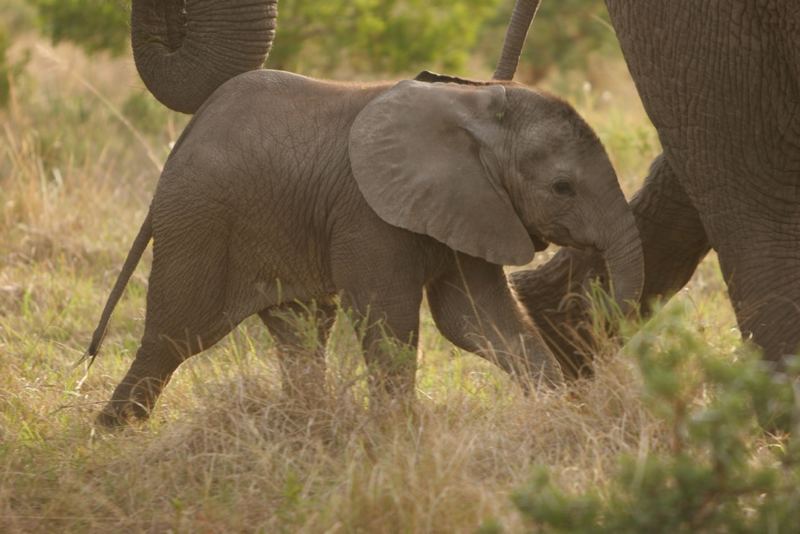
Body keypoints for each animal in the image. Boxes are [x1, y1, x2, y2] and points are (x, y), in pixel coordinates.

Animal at [87, 70, 644, 428]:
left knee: (302, 326)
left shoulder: (477, 203)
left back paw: (310, 423)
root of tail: (186, 134)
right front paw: (400, 435)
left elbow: (476, 319)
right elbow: (388, 315)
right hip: (199, 217)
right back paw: (115, 426)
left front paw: (565, 412)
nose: (603, 310)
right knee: (179, 330)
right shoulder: (369, 215)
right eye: (563, 188)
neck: (478, 107)